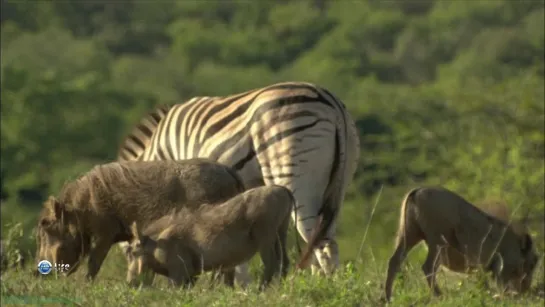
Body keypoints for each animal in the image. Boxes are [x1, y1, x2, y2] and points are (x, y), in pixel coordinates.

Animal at [115, 82, 362, 286]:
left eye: (130, 252)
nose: (135, 286)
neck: (159, 154)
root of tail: (331, 103)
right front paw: (238, 286)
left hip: (294, 174)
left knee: (317, 241)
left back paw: (315, 288)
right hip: (337, 185)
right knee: (327, 240)